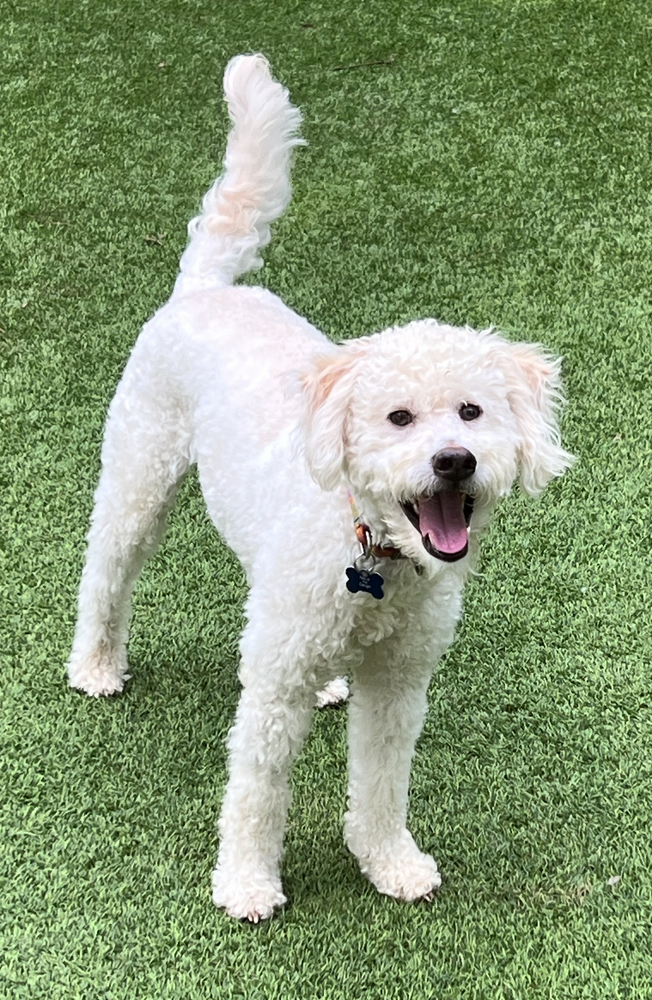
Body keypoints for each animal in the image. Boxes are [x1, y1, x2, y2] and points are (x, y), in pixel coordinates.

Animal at [67, 52, 572, 916]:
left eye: (471, 411)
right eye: (399, 417)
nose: (455, 460)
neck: (372, 548)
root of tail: (206, 287)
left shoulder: (400, 683)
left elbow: (382, 781)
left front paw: (388, 862)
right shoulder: (271, 692)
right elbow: (257, 791)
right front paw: (246, 883)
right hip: (139, 475)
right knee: (107, 570)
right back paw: (95, 667)